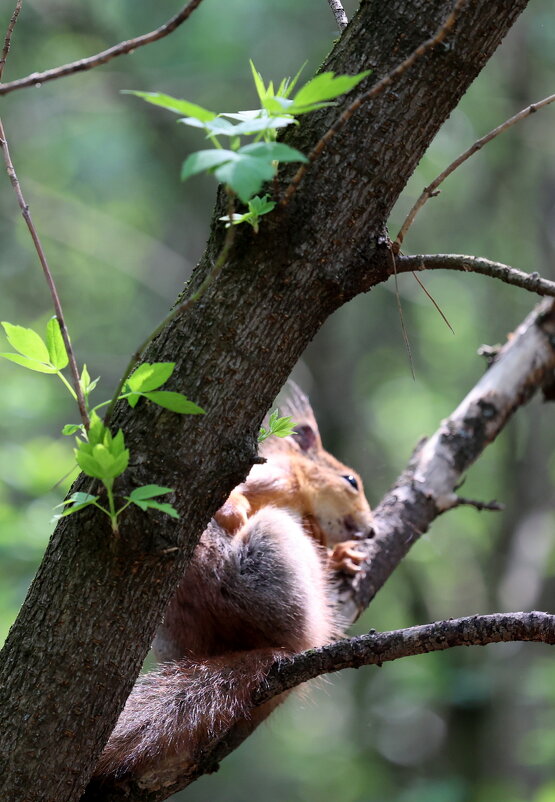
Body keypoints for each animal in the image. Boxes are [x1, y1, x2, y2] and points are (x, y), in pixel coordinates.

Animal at [94, 384, 374, 780]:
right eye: (350, 481)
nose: (372, 530)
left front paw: (345, 556)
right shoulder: (274, 476)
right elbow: (235, 497)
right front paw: (235, 513)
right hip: (274, 551)